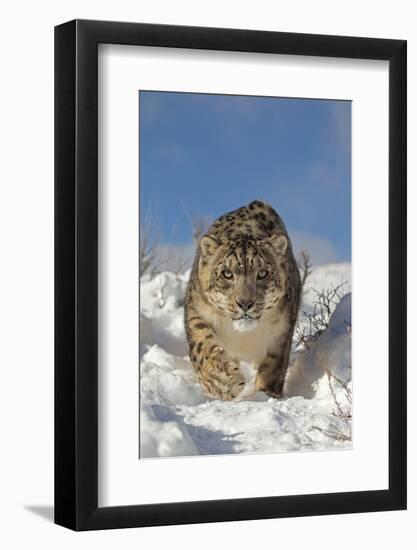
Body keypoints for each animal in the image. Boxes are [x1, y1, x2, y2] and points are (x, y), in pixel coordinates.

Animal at [184, 201, 300, 404]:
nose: (245, 303)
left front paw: (266, 394)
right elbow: (202, 345)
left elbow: (273, 366)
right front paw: (224, 381)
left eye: (263, 273)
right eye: (227, 274)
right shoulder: (196, 310)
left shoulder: (282, 332)